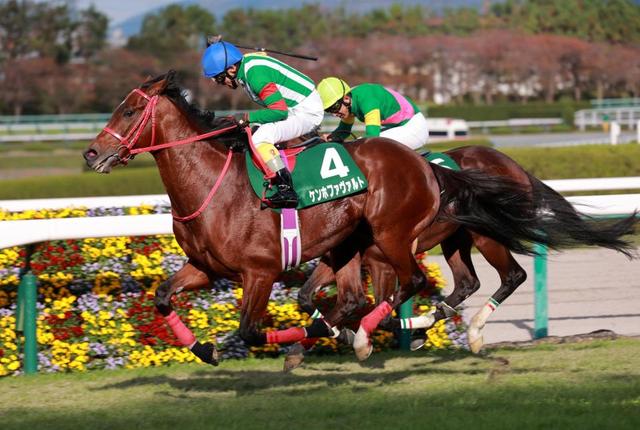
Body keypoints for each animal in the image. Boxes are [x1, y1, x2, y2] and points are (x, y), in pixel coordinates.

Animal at [82, 71, 587, 364]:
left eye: (129, 110)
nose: (91, 153)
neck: (214, 187)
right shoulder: (207, 267)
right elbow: (163, 296)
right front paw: (204, 348)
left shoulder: (261, 271)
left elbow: (251, 331)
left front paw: (321, 340)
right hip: (406, 241)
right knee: (457, 284)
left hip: (417, 235)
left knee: (449, 280)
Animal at [286, 145, 638, 368]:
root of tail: (512, 163)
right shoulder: (342, 256)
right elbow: (308, 296)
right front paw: (305, 345)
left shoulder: (379, 259)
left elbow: (376, 307)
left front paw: (357, 336)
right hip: (457, 239)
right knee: (468, 282)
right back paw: (435, 322)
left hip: (485, 234)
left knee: (513, 276)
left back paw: (472, 332)